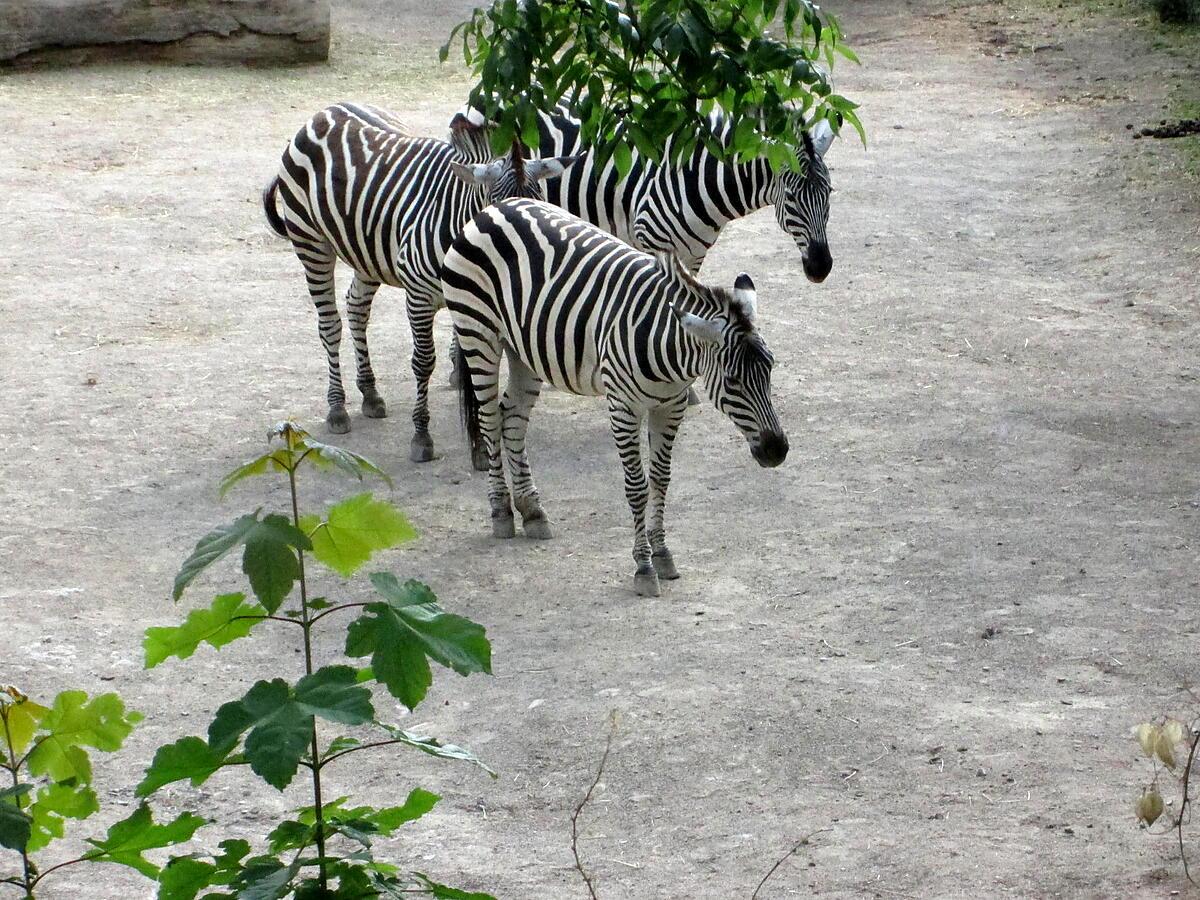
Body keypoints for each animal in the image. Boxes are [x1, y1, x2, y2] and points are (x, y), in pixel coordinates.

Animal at [261, 102, 576, 460]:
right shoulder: (420, 297)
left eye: (541, 201)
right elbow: (424, 363)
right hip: (311, 243)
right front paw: (422, 436)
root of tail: (327, 111)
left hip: (367, 253)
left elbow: (474, 372)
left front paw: (481, 450)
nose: (527, 267)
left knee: (356, 308)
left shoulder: (473, 304)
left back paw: (370, 392)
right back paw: (337, 408)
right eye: (496, 205)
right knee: (330, 325)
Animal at [441, 196, 787, 600]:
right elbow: (637, 488)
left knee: (511, 418)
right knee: (490, 420)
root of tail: (495, 207)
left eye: (771, 368)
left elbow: (661, 479)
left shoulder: (671, 406)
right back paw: (501, 511)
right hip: (478, 333)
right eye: (732, 382)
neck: (667, 348)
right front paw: (644, 566)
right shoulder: (623, 407)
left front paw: (663, 553)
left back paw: (532, 510)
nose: (777, 450)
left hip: (524, 349)